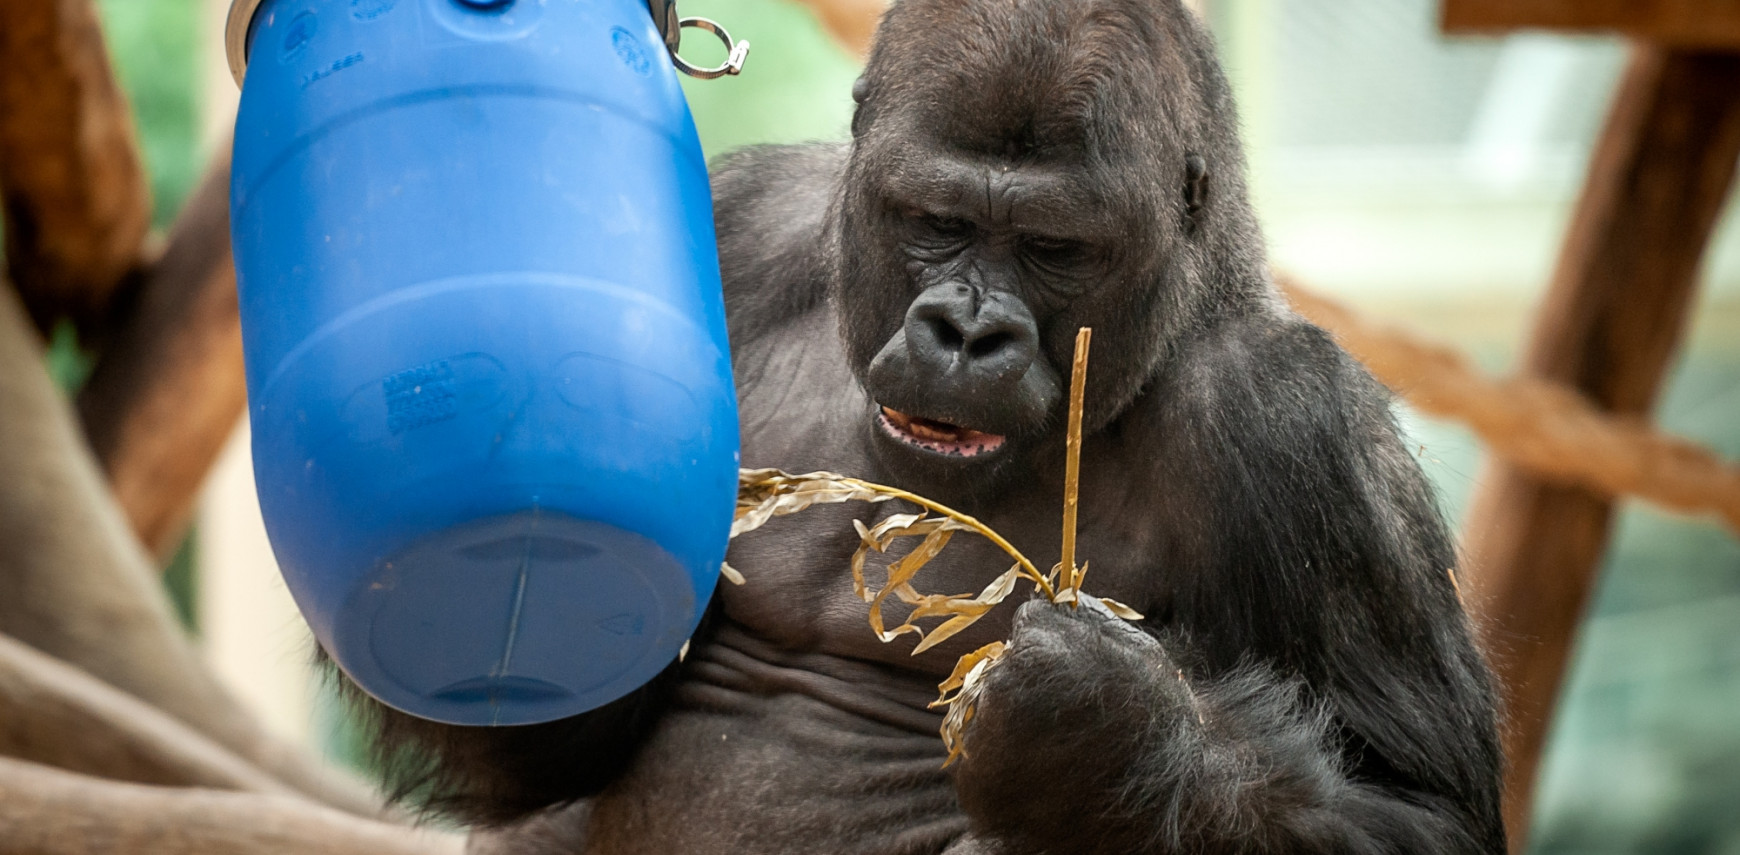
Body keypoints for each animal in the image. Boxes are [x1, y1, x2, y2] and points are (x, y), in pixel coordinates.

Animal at [346, 1, 1503, 855]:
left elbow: (1417, 808)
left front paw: (1100, 738)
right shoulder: (739, 221)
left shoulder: (1297, 423)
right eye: (940, 222)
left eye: (1054, 246)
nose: (965, 331)